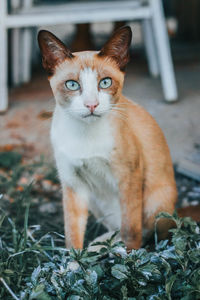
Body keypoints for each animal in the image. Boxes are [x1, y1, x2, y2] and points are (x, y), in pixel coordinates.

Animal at [37, 26, 177, 251]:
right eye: (72, 85)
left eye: (105, 83)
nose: (91, 105)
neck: (85, 134)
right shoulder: (73, 182)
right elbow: (72, 233)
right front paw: (74, 261)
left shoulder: (128, 176)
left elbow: (131, 229)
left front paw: (132, 258)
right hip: (94, 199)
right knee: (117, 226)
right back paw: (100, 245)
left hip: (155, 198)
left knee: (145, 229)